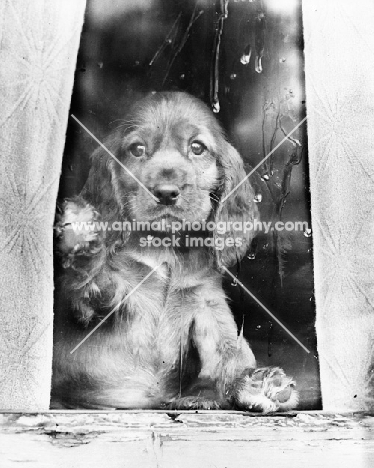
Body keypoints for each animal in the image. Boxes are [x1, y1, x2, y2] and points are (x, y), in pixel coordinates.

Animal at [52, 92, 298, 414]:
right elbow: (92, 281)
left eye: (197, 147)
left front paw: (254, 383)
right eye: (137, 149)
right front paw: (82, 235)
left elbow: (228, 347)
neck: (165, 249)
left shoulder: (206, 300)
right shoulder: (102, 299)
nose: (166, 192)